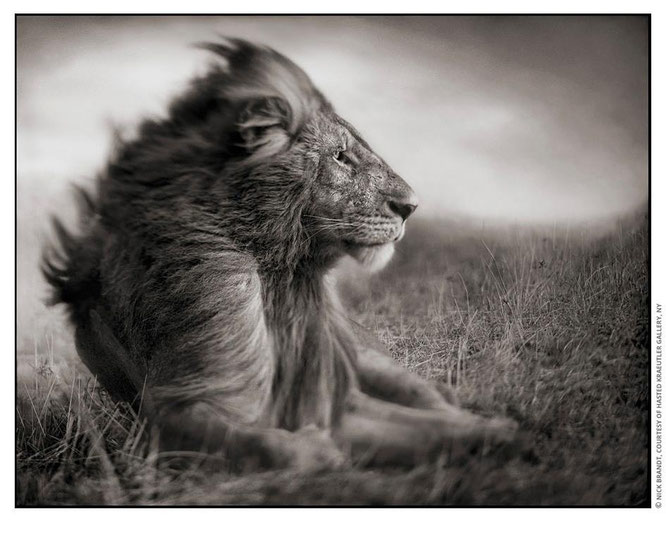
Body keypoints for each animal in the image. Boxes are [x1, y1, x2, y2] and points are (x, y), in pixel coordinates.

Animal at [42, 39, 520, 472]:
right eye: (341, 157)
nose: (411, 207)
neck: (281, 274)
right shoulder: (172, 413)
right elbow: (264, 444)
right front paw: (317, 452)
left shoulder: (333, 398)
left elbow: (433, 427)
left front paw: (501, 431)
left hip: (367, 358)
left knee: (426, 393)